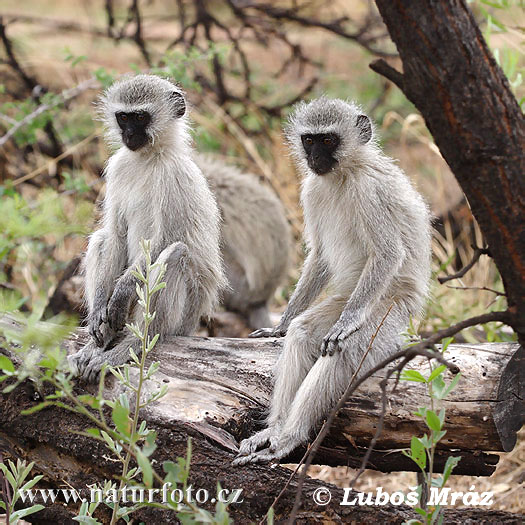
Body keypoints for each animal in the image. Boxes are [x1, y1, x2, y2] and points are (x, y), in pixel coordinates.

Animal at [68, 74, 226, 380]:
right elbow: (116, 236)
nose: (129, 136)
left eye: (141, 117)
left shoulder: (171, 177)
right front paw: (100, 310)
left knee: (176, 254)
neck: (148, 157)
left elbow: (161, 242)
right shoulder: (118, 166)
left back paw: (128, 346)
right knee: (102, 238)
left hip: (183, 318)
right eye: (123, 117)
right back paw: (100, 341)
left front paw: (121, 293)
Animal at [233, 97, 430, 462]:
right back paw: (276, 429)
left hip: (387, 309)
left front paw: (346, 324)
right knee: (303, 333)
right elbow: (321, 255)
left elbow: (387, 254)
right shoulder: (312, 188)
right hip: (347, 297)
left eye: (328, 140)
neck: (343, 174)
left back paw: (290, 437)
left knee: (343, 349)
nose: (314, 159)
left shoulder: (369, 191)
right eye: (309, 140)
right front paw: (280, 326)